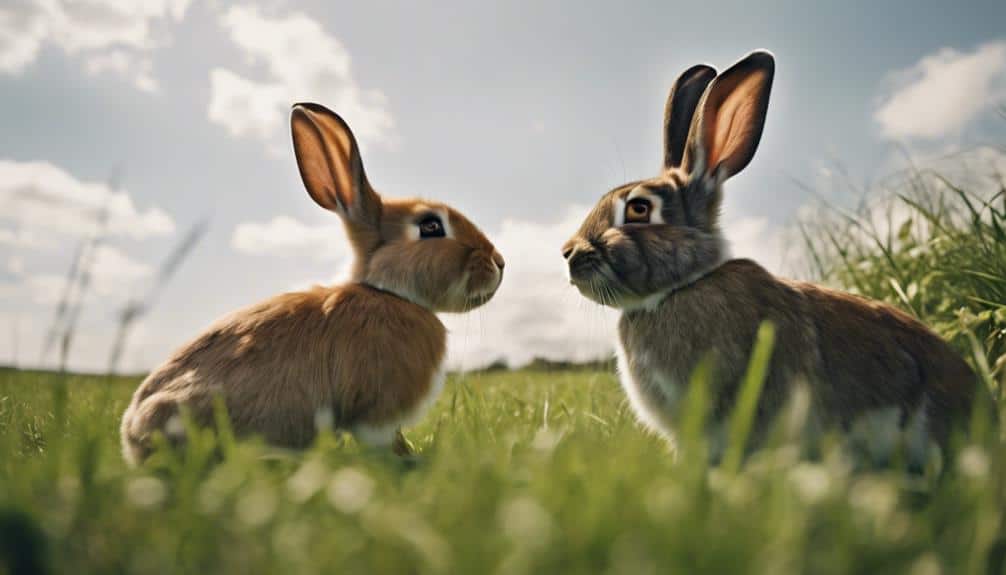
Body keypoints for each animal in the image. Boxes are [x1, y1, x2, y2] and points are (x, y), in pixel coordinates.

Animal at [121, 102, 504, 464]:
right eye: (430, 226)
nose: (500, 263)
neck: (390, 294)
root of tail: (132, 434)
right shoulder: (376, 410)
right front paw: (405, 458)